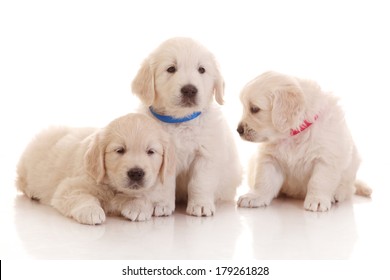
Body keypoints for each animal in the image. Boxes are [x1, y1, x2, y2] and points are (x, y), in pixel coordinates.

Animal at [15, 112, 174, 224]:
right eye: (120, 150)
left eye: (150, 152)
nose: (136, 173)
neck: (113, 187)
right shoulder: (69, 187)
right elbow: (82, 196)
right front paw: (90, 211)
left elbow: (143, 195)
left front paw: (138, 207)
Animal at [133, 37, 242, 217]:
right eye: (171, 69)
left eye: (201, 69)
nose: (190, 90)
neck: (180, 121)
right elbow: (164, 185)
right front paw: (161, 205)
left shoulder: (206, 155)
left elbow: (200, 182)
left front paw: (201, 205)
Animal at [236, 71, 370, 211]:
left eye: (254, 109)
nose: (238, 130)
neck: (294, 135)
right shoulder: (270, 159)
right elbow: (263, 180)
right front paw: (255, 196)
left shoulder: (326, 159)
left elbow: (319, 181)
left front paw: (317, 200)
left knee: (349, 187)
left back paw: (337, 194)